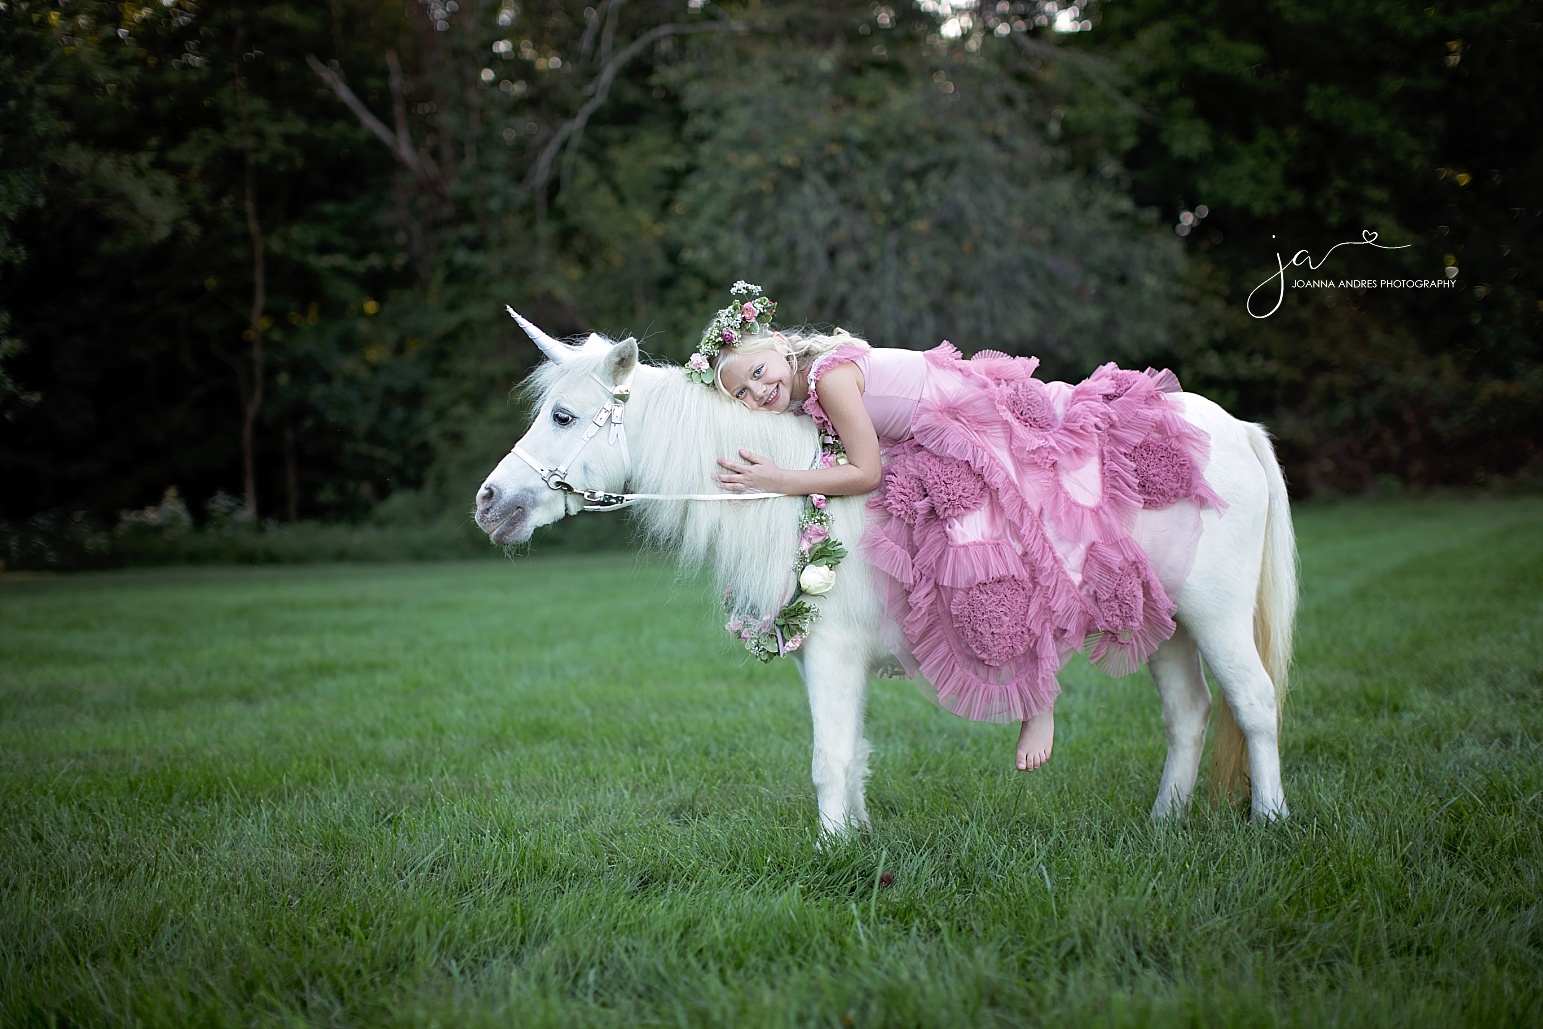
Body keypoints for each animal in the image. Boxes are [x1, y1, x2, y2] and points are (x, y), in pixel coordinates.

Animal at [475, 316, 1296, 839]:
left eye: (562, 415)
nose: (488, 501)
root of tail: (1233, 429)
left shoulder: (832, 652)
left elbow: (829, 757)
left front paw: (831, 850)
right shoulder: (823, 655)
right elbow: (853, 753)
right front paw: (856, 837)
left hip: (1216, 617)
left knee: (1254, 704)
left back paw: (1270, 821)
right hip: (1162, 622)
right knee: (1188, 714)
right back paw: (1163, 823)